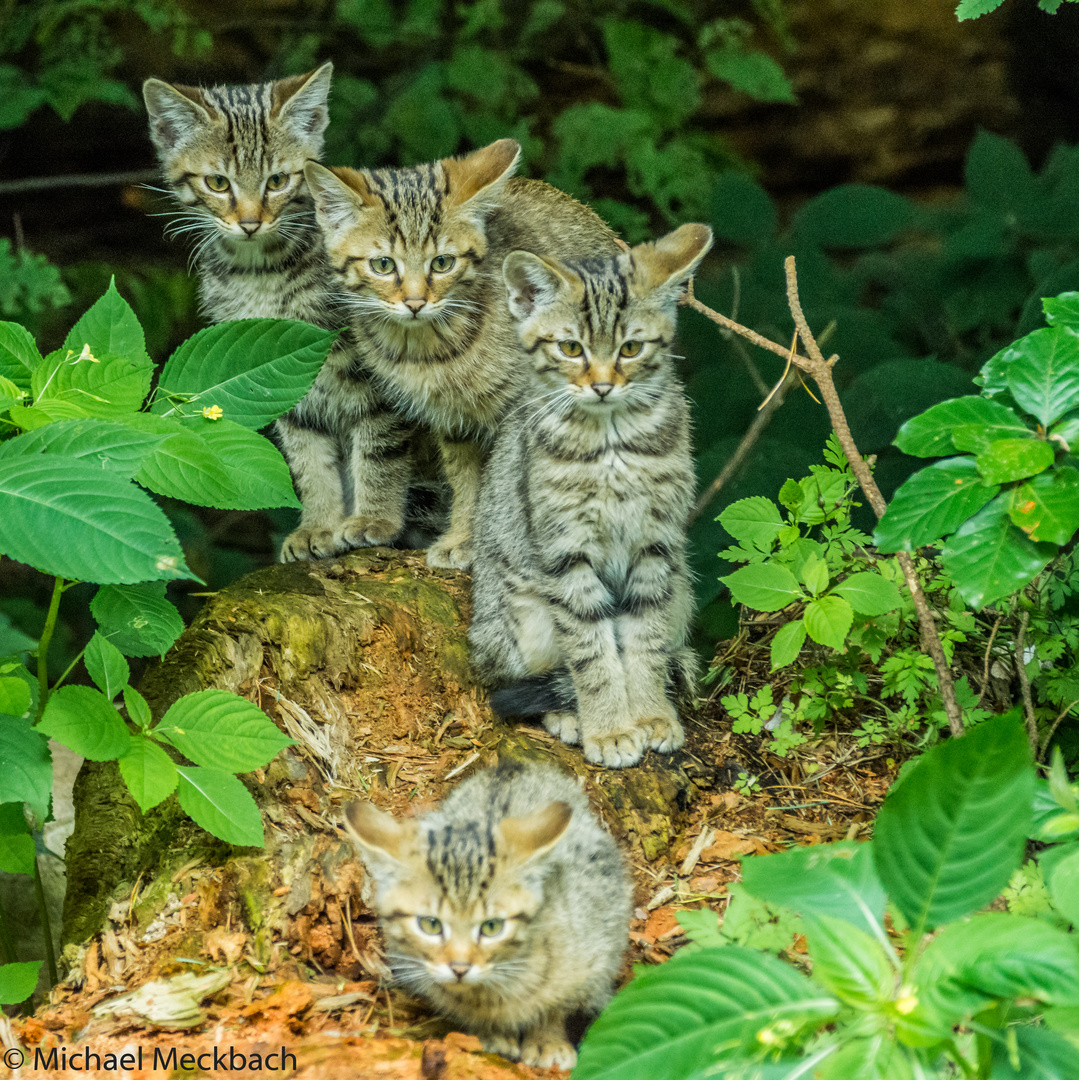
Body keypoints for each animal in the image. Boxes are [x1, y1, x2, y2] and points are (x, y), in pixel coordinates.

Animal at [142, 63, 425, 561]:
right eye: (218, 183)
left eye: (277, 181)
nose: (250, 222)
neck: (260, 273)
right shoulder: (286, 375)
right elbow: (307, 460)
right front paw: (318, 526)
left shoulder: (380, 373)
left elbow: (380, 446)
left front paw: (375, 519)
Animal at [304, 141, 626, 574]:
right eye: (383, 265)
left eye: (442, 262)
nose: (415, 302)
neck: (425, 351)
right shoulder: (454, 422)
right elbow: (467, 481)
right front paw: (463, 538)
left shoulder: (521, 415)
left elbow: (506, 481)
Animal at [345, 760, 630, 1071]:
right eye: (430, 924)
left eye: (492, 926)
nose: (459, 968)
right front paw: (494, 1034)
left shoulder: (593, 955)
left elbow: (556, 1004)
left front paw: (547, 1039)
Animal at [468, 225, 712, 768]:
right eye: (571, 348)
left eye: (630, 348)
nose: (601, 385)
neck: (612, 443)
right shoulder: (565, 552)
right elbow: (591, 651)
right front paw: (610, 729)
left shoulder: (656, 545)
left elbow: (644, 639)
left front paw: (650, 714)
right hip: (517, 615)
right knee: (526, 674)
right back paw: (570, 715)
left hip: (682, 586)